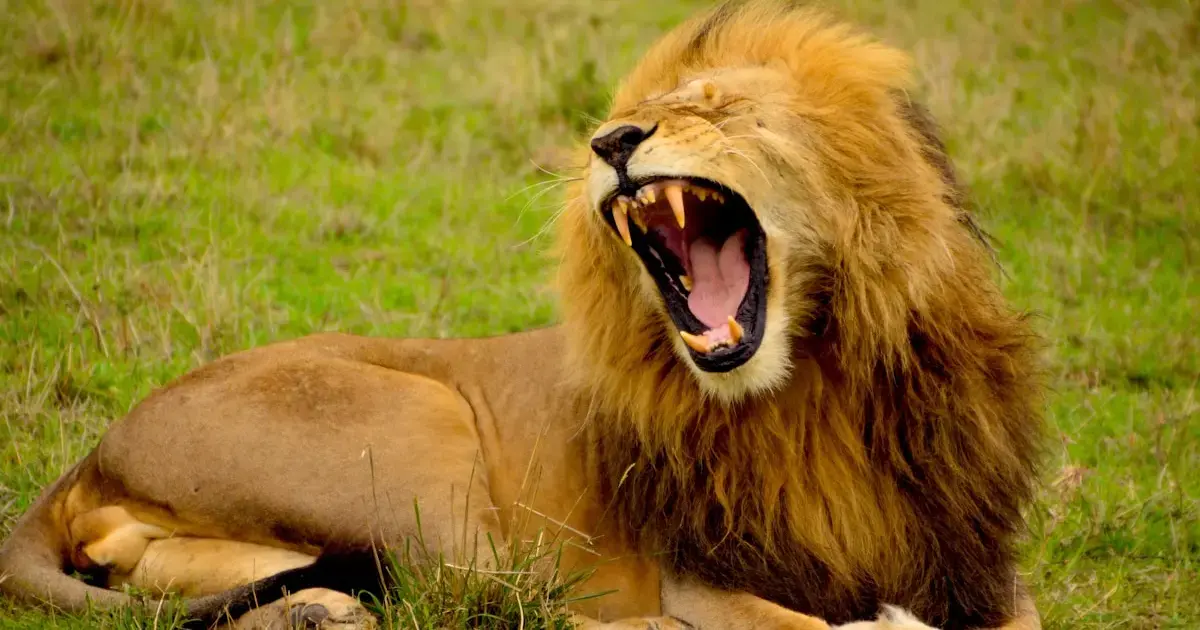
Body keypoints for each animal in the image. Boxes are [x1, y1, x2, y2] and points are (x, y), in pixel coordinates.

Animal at [0, 2, 1045, 629]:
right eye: (638, 111)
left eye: (718, 107)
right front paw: (877, 619)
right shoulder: (698, 571)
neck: (816, 383)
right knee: (492, 600)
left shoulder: (975, 558)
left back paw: (317, 610)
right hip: (418, 426)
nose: (611, 140)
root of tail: (95, 450)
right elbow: (796, 623)